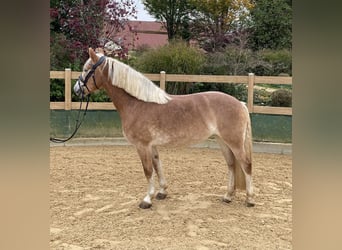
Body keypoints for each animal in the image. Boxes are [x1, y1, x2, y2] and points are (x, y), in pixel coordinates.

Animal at [75, 47, 256, 208]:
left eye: (86, 69)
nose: (76, 89)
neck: (137, 103)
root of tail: (240, 103)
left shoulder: (142, 146)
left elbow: (148, 170)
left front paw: (147, 199)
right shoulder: (151, 146)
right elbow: (157, 166)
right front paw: (162, 192)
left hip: (234, 143)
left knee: (246, 165)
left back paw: (250, 199)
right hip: (223, 142)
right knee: (231, 165)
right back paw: (228, 196)